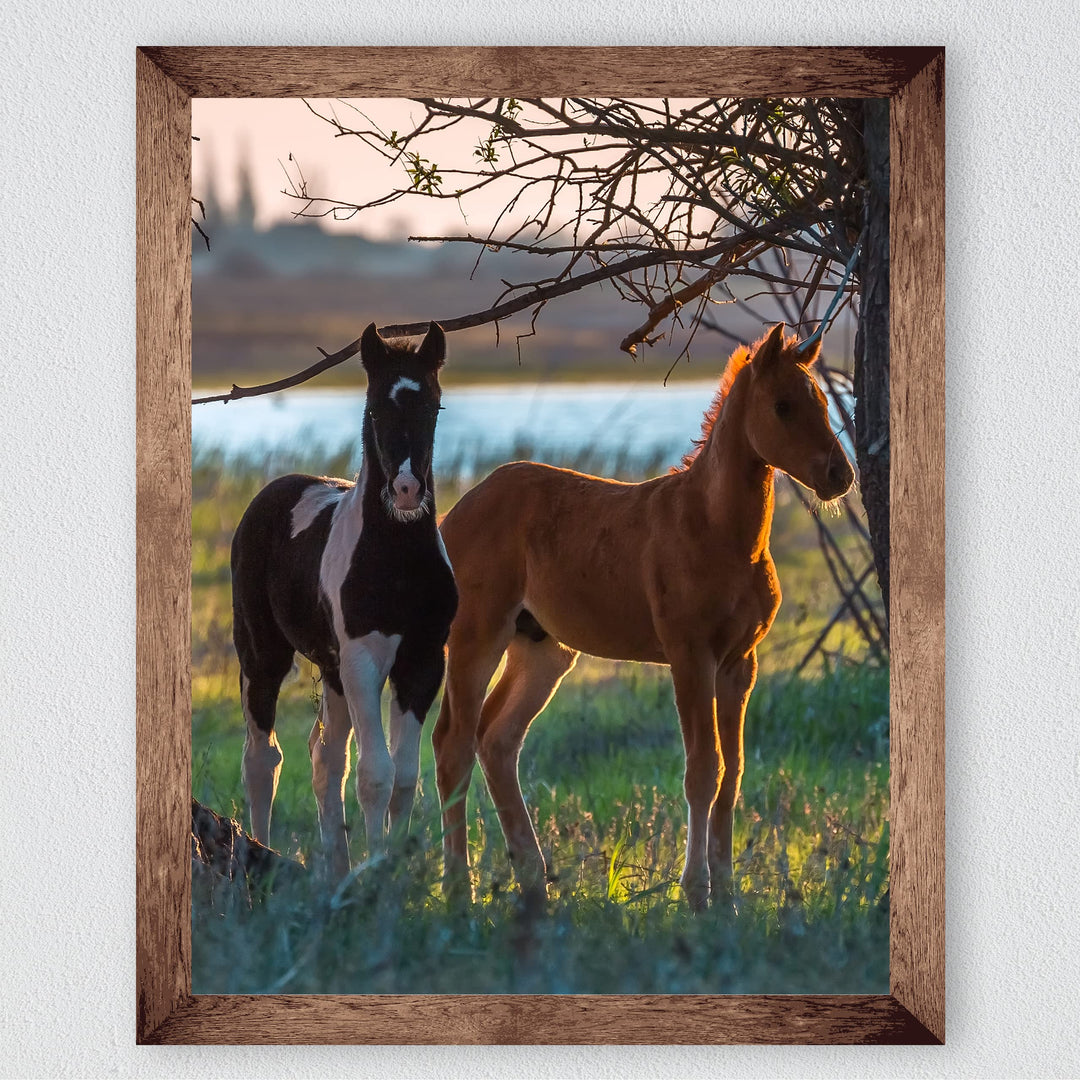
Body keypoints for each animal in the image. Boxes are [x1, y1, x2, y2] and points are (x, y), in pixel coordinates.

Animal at [231, 322, 458, 880]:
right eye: (374, 408)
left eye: (434, 406)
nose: (406, 490)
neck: (395, 560)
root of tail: (271, 492)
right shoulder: (362, 659)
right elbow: (376, 774)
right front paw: (375, 871)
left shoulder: (423, 661)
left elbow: (404, 776)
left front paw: (389, 870)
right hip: (263, 655)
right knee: (261, 757)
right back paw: (262, 851)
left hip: (331, 670)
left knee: (324, 756)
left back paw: (336, 867)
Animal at [432, 323, 854, 910]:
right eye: (783, 405)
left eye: (822, 400)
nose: (840, 475)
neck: (718, 530)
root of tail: (453, 515)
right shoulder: (689, 655)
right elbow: (702, 770)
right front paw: (695, 893)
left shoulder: (739, 662)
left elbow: (733, 773)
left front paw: (728, 897)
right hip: (476, 635)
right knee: (453, 745)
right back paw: (459, 892)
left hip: (542, 648)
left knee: (496, 739)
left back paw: (534, 882)